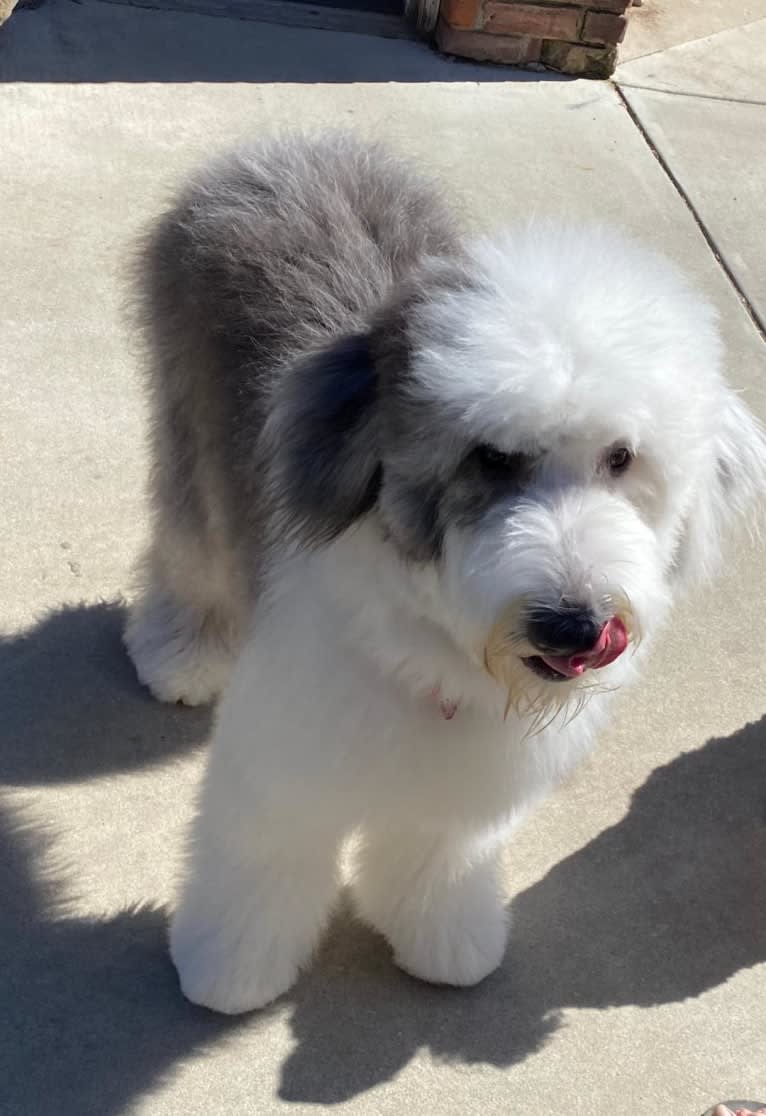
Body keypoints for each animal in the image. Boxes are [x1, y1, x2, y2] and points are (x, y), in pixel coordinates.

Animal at [126, 135, 766, 1017]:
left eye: (621, 458)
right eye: (491, 457)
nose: (573, 623)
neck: (435, 646)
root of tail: (285, 149)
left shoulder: (461, 796)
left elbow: (435, 858)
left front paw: (446, 945)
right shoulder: (284, 758)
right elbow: (264, 860)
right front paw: (230, 971)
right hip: (191, 432)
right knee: (186, 553)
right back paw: (180, 655)